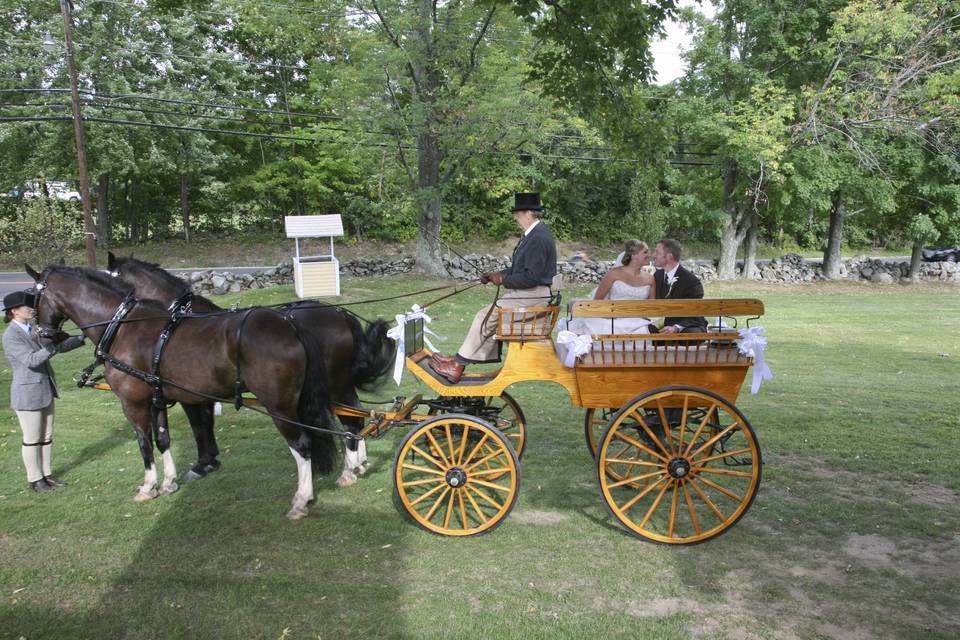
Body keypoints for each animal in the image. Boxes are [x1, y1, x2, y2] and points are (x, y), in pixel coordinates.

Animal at [29, 264, 338, 520]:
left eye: (32, 297)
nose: (40, 333)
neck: (121, 326)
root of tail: (290, 325)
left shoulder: (133, 403)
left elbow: (144, 443)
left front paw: (149, 486)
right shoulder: (157, 400)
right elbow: (163, 439)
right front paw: (169, 482)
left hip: (279, 407)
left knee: (302, 445)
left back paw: (301, 499)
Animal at [103, 252, 392, 488]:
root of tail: (341, 314)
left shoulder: (190, 395)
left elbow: (199, 426)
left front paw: (202, 463)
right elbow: (205, 424)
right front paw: (209, 461)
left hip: (334, 382)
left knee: (351, 419)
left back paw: (350, 469)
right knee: (355, 413)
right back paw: (358, 463)